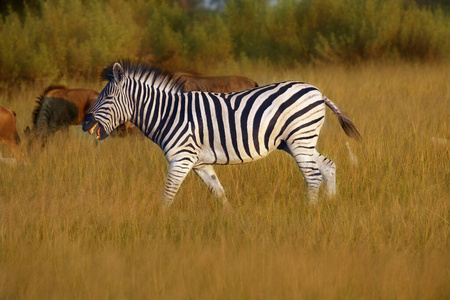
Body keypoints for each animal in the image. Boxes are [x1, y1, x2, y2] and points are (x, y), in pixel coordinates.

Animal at [82, 61, 360, 209]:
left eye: (107, 97)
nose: (85, 123)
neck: (168, 114)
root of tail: (317, 91)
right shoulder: (200, 163)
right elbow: (219, 193)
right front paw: (232, 222)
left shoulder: (181, 159)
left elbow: (168, 194)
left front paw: (158, 223)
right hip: (297, 142)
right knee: (328, 167)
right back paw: (331, 206)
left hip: (300, 138)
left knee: (313, 176)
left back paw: (309, 212)